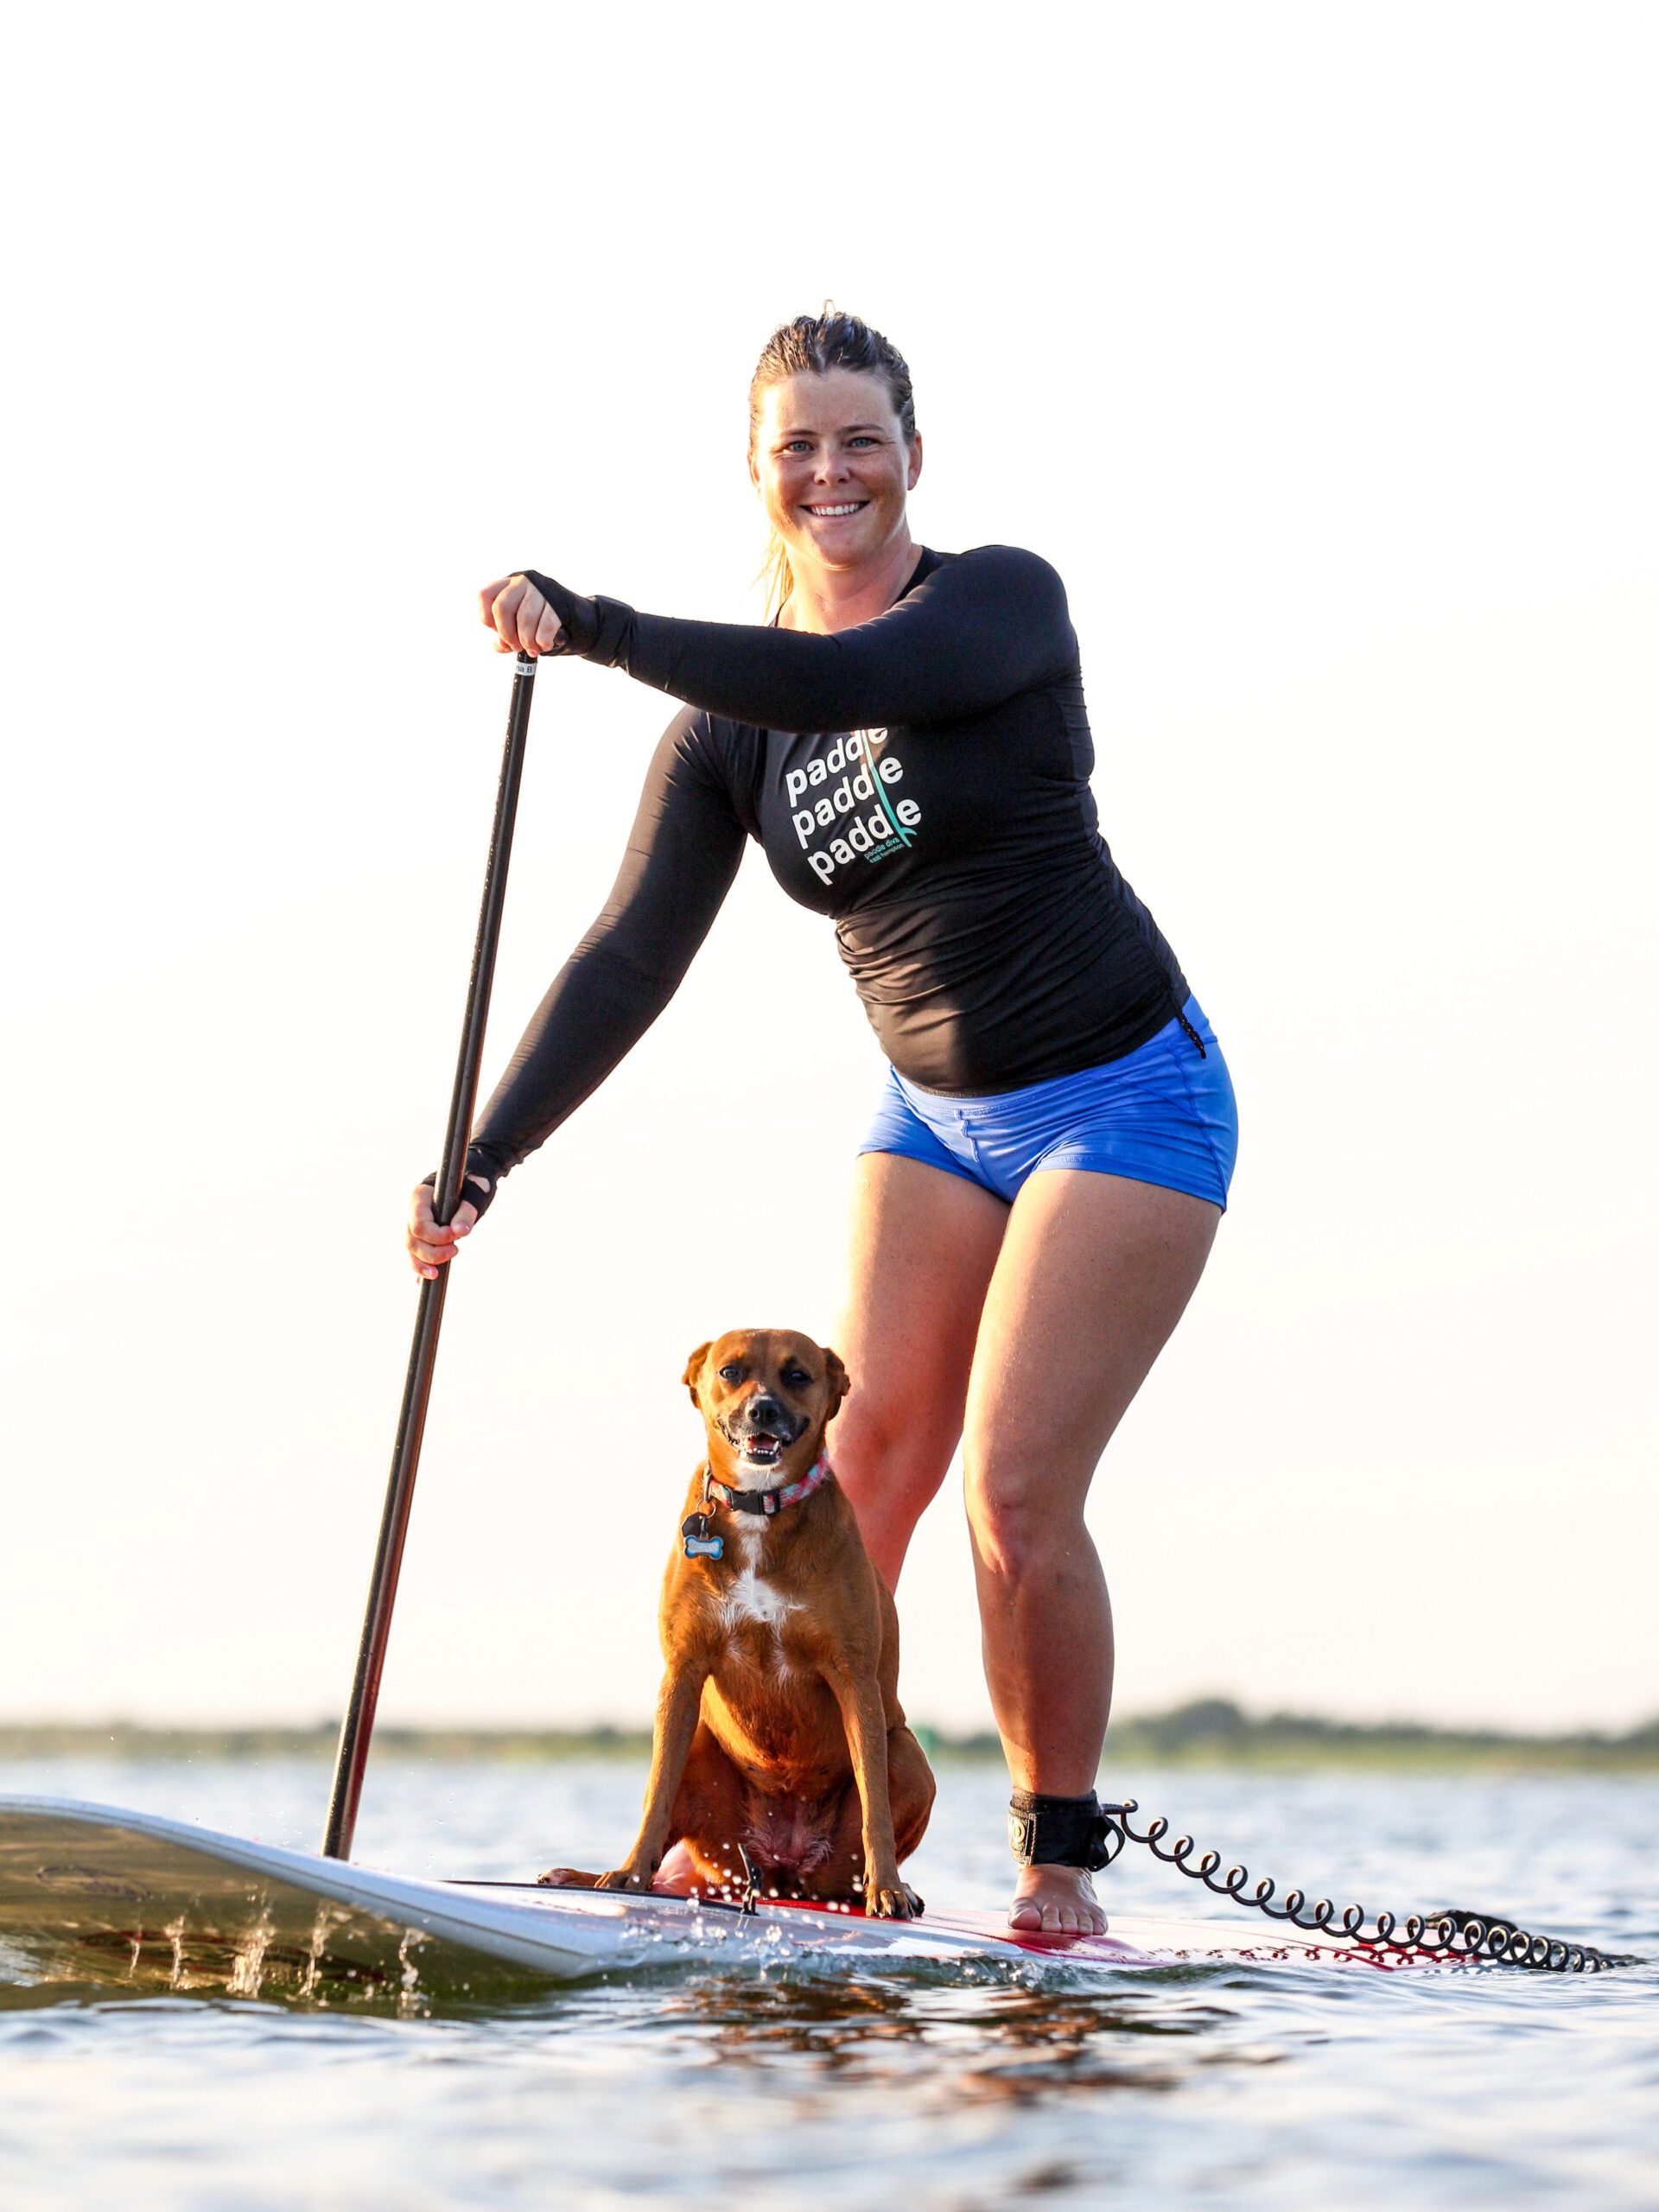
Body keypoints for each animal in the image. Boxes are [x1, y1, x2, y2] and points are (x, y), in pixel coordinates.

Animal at [542, 1327, 938, 1920]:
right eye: (731, 1371)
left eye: (797, 1375)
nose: (763, 1410)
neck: (758, 1506)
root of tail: (783, 1871)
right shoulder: (682, 1673)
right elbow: (656, 1795)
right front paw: (629, 1875)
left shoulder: (854, 1680)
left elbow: (876, 1807)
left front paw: (887, 1887)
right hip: (698, 1751)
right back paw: (595, 1875)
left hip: (909, 1756)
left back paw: (893, 1887)